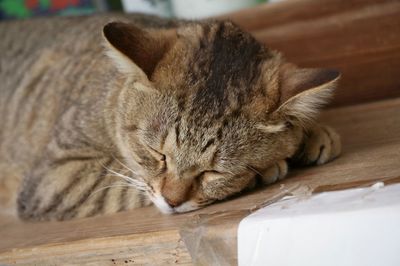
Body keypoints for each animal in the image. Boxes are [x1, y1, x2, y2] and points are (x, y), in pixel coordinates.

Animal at [0, 13, 340, 220]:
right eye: (157, 154)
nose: (172, 202)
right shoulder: (54, 177)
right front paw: (270, 168)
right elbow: (121, 185)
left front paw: (311, 132)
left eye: (213, 171)